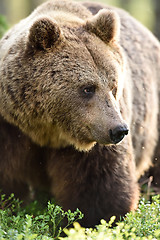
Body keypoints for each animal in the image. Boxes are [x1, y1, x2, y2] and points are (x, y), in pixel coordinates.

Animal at [0, 0, 159, 227]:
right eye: (87, 88)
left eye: (113, 86)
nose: (119, 130)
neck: (46, 130)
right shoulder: (10, 126)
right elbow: (9, 180)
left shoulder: (93, 140)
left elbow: (99, 187)